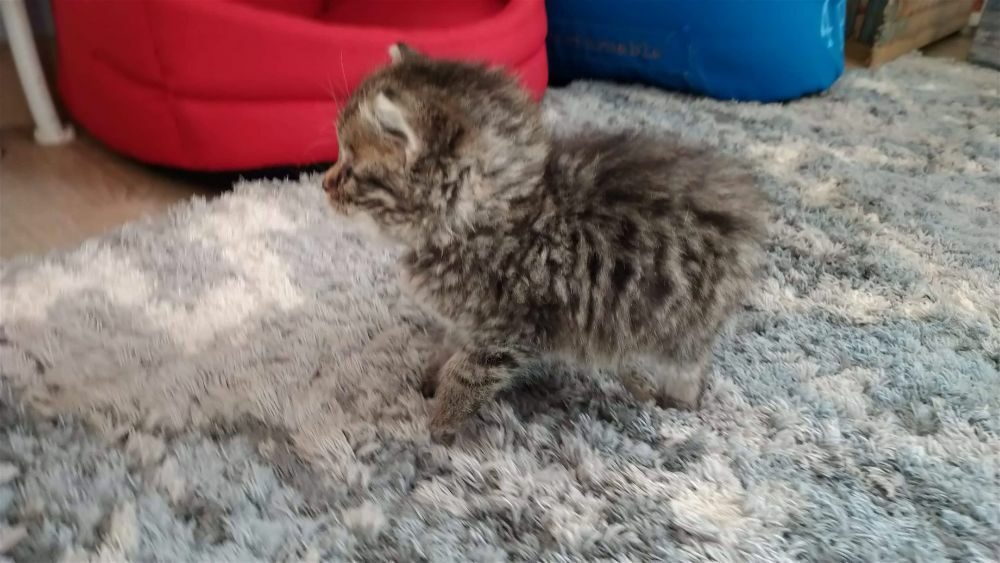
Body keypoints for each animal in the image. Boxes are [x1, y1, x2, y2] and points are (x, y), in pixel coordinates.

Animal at [323, 43, 767, 443]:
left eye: (350, 168)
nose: (324, 184)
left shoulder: (510, 331)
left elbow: (467, 375)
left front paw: (441, 421)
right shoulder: (470, 319)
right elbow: (448, 344)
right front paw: (431, 376)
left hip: (678, 324)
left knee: (689, 366)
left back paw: (673, 401)